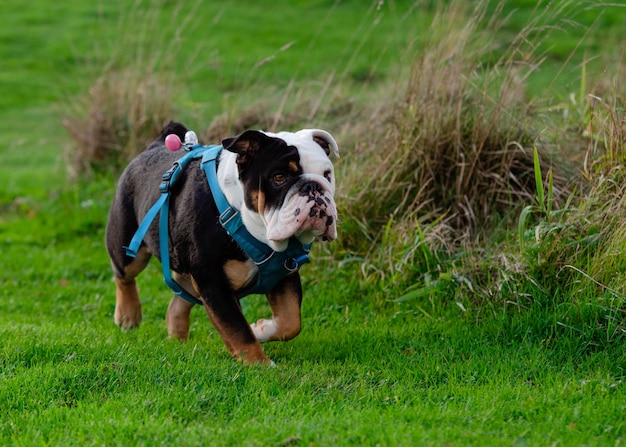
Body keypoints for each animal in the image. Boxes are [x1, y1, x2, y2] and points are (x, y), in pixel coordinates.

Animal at [103, 121, 336, 364]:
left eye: (327, 174)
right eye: (279, 178)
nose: (313, 187)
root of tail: (154, 146)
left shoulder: (284, 273)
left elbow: (291, 321)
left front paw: (260, 329)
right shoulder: (213, 282)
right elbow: (237, 328)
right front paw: (258, 362)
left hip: (189, 272)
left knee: (178, 302)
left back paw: (178, 341)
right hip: (129, 246)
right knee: (123, 274)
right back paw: (128, 315)